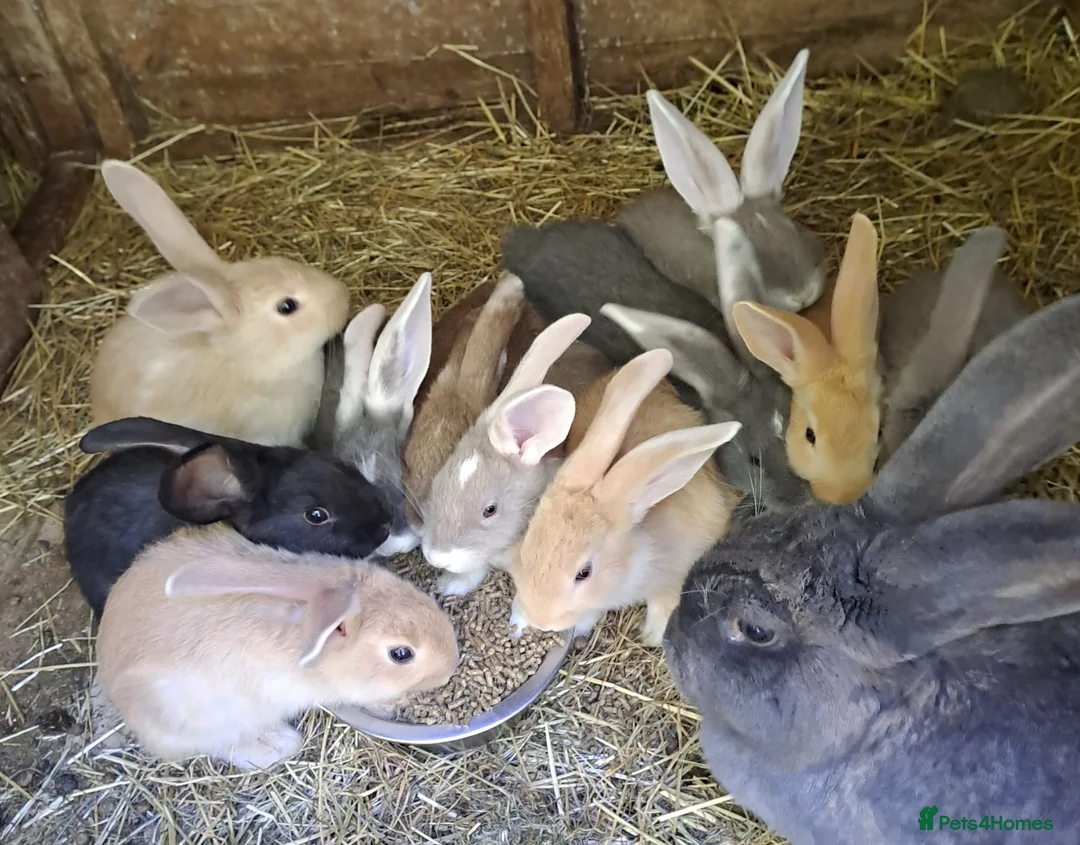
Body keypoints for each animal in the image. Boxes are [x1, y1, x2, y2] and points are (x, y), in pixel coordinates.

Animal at [508, 349, 742, 647]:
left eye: (584, 573)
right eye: (528, 544)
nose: (542, 620)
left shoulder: (675, 574)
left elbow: (665, 605)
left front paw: (653, 637)